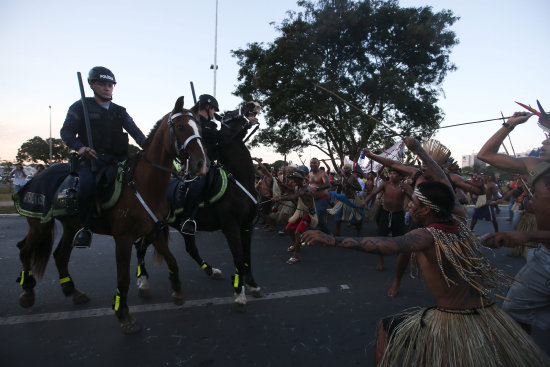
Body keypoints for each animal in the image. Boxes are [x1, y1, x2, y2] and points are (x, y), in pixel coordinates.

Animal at [15, 96, 209, 334]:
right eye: (180, 127)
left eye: (199, 127)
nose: (202, 164)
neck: (144, 185)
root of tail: (35, 177)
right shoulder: (123, 239)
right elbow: (123, 279)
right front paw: (123, 314)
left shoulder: (153, 231)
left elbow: (172, 261)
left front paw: (177, 291)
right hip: (39, 225)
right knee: (24, 250)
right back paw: (27, 291)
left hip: (71, 226)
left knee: (60, 255)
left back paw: (73, 291)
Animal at [137, 105, 266, 310]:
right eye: (229, 115)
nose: (251, 105)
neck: (238, 181)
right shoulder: (231, 227)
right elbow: (238, 257)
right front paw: (239, 294)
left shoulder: (247, 226)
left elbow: (247, 258)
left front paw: (253, 285)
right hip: (153, 228)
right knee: (140, 247)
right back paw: (142, 282)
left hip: (183, 228)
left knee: (191, 249)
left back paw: (211, 271)